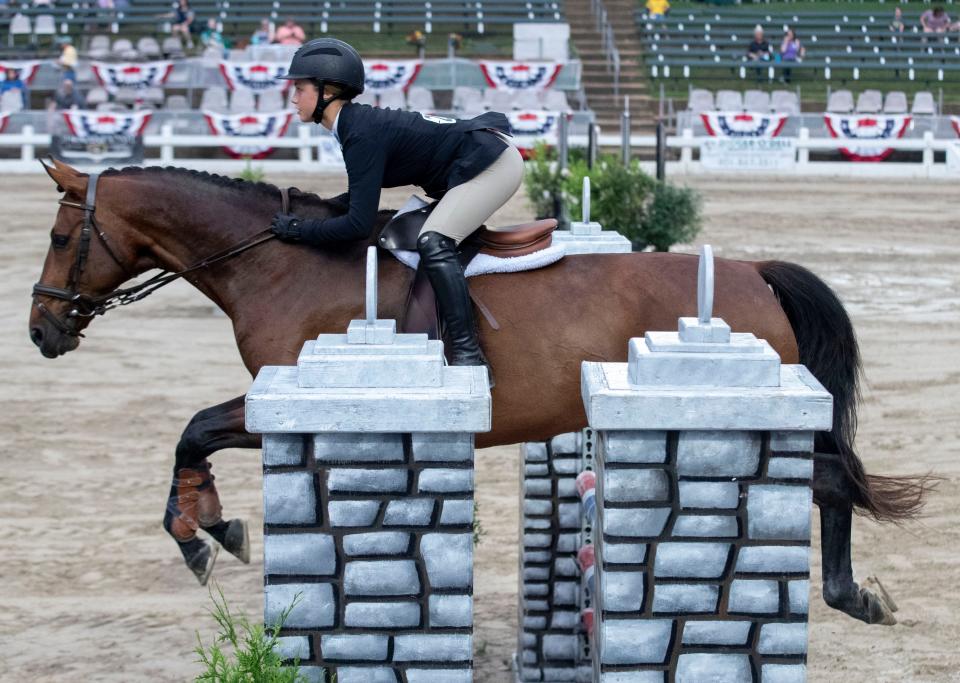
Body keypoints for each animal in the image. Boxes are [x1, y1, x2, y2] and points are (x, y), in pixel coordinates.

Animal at [31, 159, 928, 624]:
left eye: (61, 235)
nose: (43, 331)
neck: (277, 263)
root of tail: (755, 273)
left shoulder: (282, 396)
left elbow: (193, 427)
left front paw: (200, 532)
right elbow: (193, 431)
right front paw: (213, 524)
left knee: (832, 483)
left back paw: (851, 596)